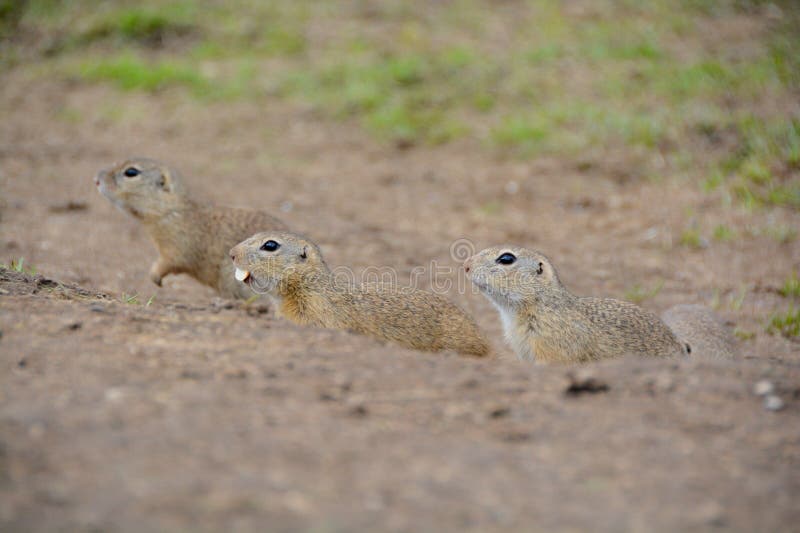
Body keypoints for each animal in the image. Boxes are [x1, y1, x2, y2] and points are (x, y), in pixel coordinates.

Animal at [95, 158, 288, 300]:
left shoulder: (177, 245)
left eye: (131, 172)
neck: (173, 210)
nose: (96, 179)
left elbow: (171, 262)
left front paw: (155, 277)